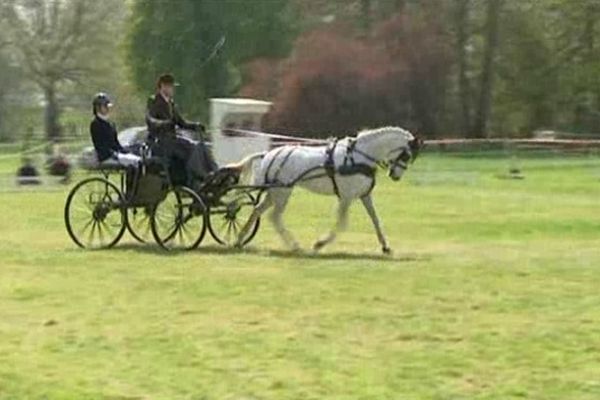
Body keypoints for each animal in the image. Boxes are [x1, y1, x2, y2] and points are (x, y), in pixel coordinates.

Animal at [233, 126, 422, 255]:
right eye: (407, 155)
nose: (395, 175)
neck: (359, 157)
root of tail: (268, 155)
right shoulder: (346, 197)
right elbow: (342, 223)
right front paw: (320, 244)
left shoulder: (364, 195)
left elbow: (375, 219)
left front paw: (385, 246)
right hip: (282, 193)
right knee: (274, 217)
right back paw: (294, 245)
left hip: (274, 193)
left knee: (258, 210)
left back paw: (239, 239)